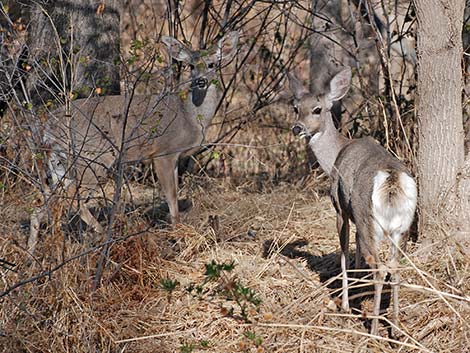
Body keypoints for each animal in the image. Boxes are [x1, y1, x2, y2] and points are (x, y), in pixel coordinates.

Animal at [28, 30, 241, 250]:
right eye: (190, 65)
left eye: (212, 64)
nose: (200, 81)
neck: (188, 118)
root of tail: (48, 125)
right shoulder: (163, 152)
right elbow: (171, 197)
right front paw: (177, 234)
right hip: (93, 155)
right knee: (72, 195)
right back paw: (104, 234)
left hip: (59, 160)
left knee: (43, 202)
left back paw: (32, 252)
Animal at [288, 67, 416, 334]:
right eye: (295, 107)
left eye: (317, 109)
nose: (297, 128)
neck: (336, 155)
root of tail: (392, 180)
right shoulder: (356, 216)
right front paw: (358, 289)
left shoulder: (341, 209)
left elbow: (345, 253)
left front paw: (347, 304)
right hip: (401, 228)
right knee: (395, 267)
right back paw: (395, 326)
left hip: (369, 219)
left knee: (380, 268)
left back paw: (375, 329)